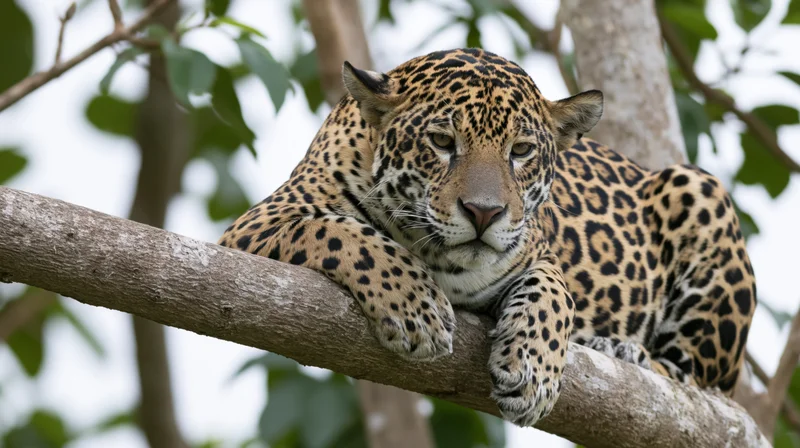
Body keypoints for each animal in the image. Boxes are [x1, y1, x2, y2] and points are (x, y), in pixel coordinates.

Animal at [218, 48, 756, 427]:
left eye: (520, 151)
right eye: (441, 142)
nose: (484, 213)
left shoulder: (536, 251)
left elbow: (555, 293)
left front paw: (533, 371)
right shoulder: (258, 223)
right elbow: (341, 231)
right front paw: (415, 307)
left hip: (700, 191)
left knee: (701, 386)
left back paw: (624, 352)